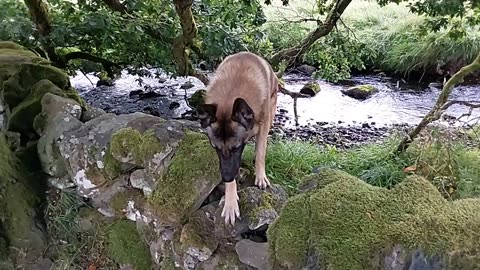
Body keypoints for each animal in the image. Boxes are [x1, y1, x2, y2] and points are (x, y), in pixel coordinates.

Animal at [196, 51, 278, 226]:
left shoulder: (264, 124)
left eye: (236, 148)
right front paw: (230, 201)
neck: (230, 97)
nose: (226, 178)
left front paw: (260, 176)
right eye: (215, 148)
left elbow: (260, 153)